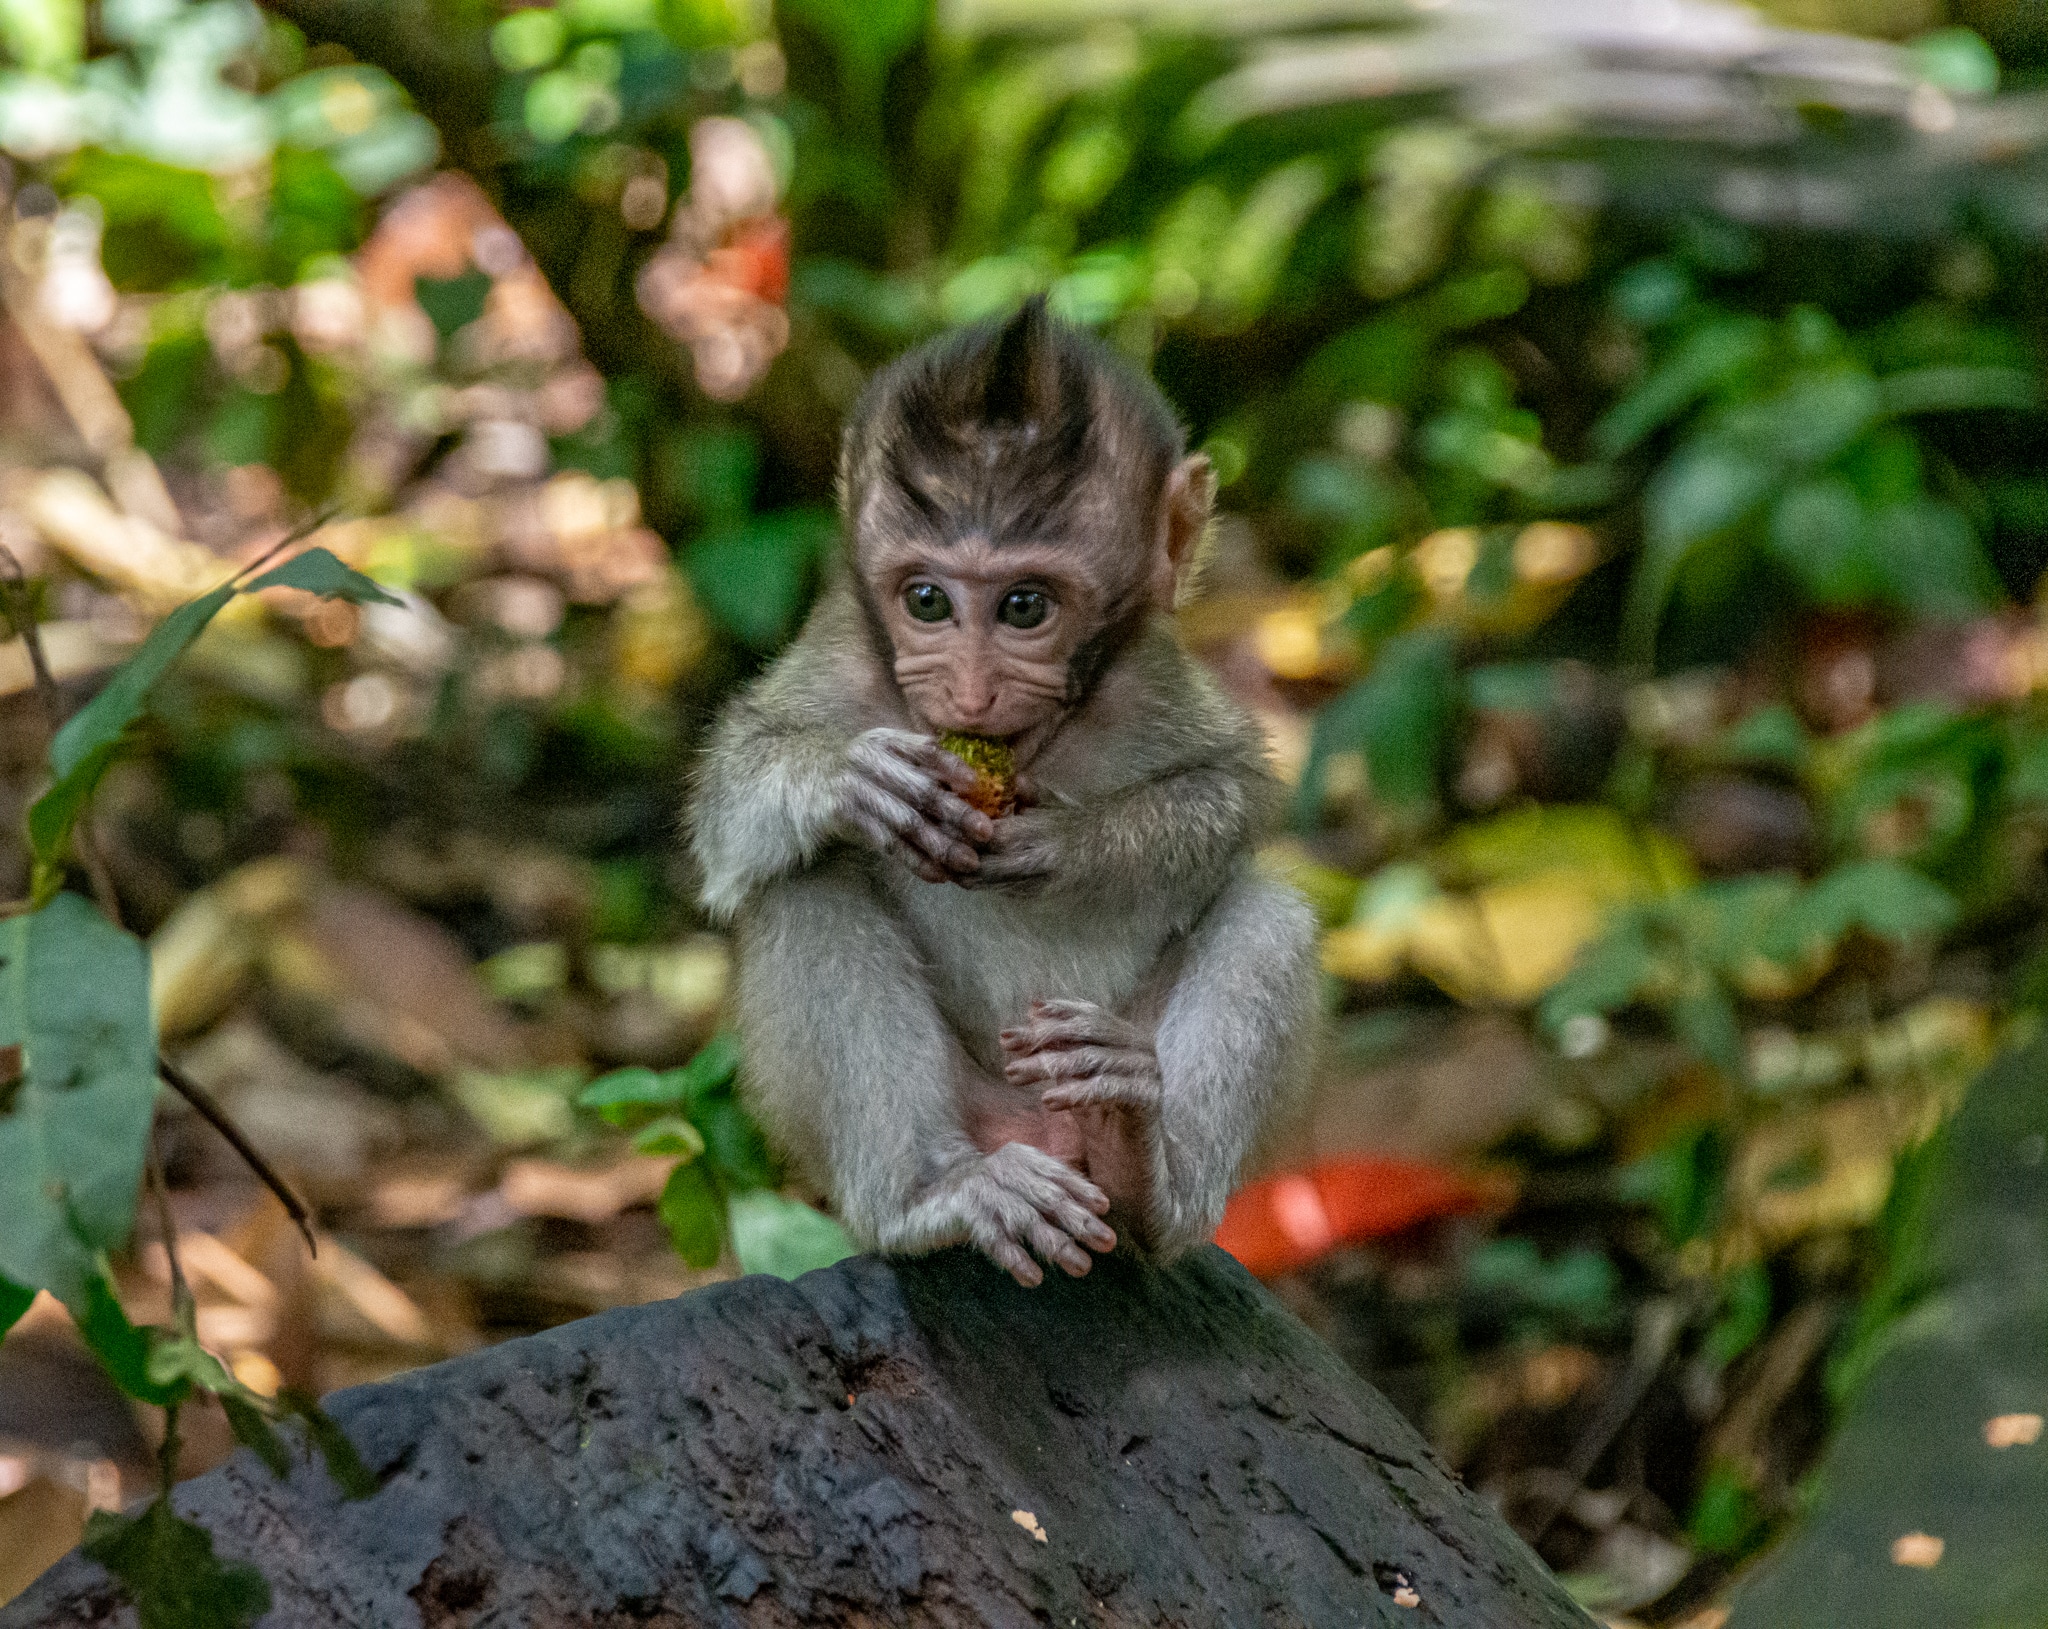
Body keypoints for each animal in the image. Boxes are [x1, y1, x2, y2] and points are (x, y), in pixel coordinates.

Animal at [688, 298, 1318, 1287]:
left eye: (1025, 606)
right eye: (926, 600)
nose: (972, 692)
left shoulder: (1152, 674)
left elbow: (1232, 789)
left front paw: (1065, 846)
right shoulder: (842, 650)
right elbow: (727, 806)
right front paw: (853, 781)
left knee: (1269, 912)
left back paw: (1143, 1169)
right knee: (807, 885)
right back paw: (934, 1193)